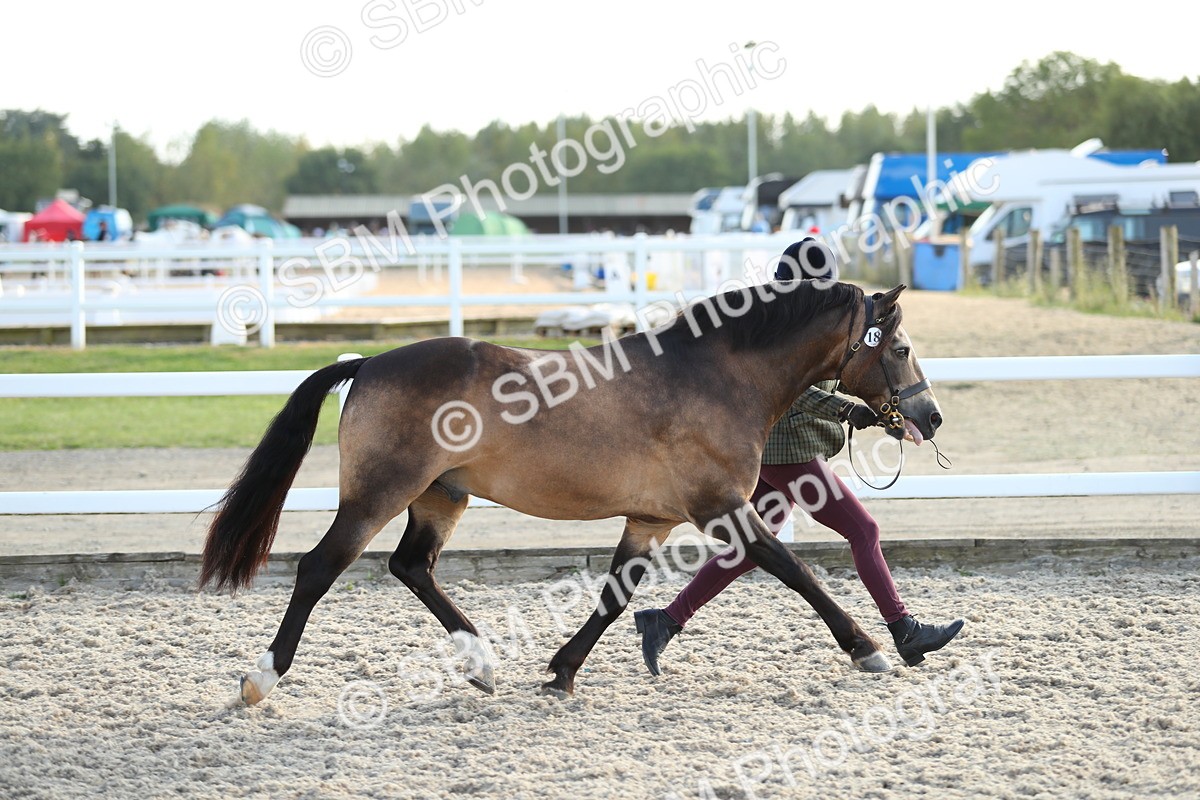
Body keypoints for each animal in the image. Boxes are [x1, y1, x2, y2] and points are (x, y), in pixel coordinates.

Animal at [200, 280, 942, 704]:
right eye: (901, 347)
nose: (929, 417)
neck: (715, 377)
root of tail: (371, 362)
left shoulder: (650, 519)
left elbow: (615, 598)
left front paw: (561, 672)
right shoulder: (720, 509)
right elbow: (793, 569)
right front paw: (870, 649)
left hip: (442, 496)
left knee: (412, 567)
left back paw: (482, 663)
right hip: (378, 495)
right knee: (319, 568)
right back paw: (261, 678)